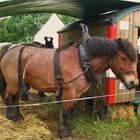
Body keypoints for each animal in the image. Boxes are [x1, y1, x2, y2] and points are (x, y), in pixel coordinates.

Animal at [0, 36, 138, 138]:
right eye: (123, 58)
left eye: (135, 59)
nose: (134, 83)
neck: (82, 60)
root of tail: (8, 51)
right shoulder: (69, 91)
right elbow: (66, 112)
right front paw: (64, 133)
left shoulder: (76, 94)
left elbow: (70, 111)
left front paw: (70, 129)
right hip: (13, 83)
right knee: (8, 97)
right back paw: (11, 117)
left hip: (19, 84)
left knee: (15, 98)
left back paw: (18, 116)